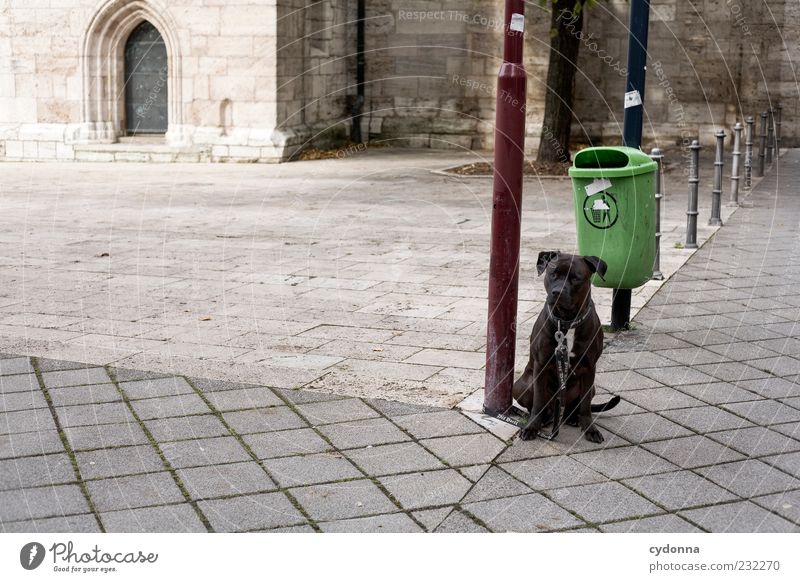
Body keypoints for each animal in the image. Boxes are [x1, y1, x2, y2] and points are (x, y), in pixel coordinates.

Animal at [512, 250, 620, 442]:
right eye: (553, 274)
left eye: (576, 278)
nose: (558, 292)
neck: (567, 322)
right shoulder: (541, 365)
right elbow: (538, 402)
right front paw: (532, 427)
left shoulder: (589, 367)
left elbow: (585, 405)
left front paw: (590, 428)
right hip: (522, 386)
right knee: (541, 406)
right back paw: (545, 419)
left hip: (591, 388)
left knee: (576, 407)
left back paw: (573, 418)